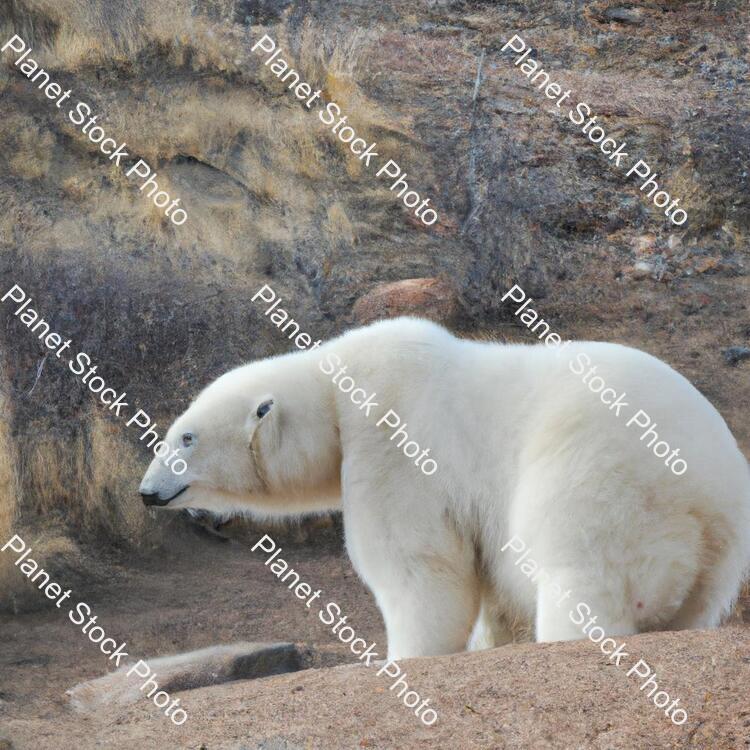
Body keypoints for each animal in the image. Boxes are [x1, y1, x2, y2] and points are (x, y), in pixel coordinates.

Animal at [138, 320, 748, 660]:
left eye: (186, 437)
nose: (147, 491)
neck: (336, 388)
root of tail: (702, 496)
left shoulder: (393, 436)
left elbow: (420, 567)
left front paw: (405, 655)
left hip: (604, 475)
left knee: (578, 566)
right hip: (720, 555)